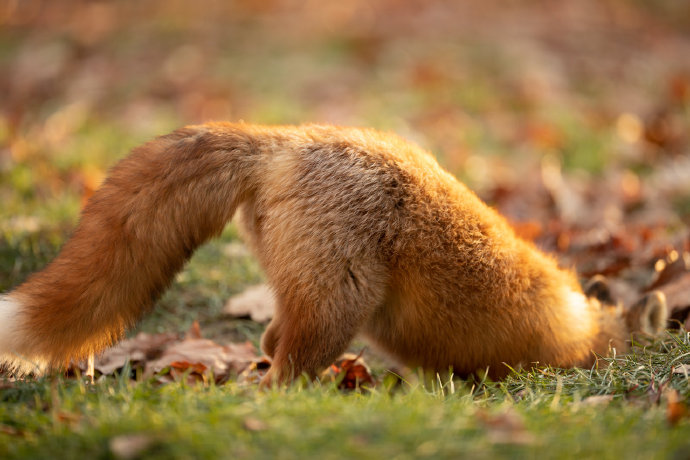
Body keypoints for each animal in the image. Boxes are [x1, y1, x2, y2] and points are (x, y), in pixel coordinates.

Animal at [0, 122, 668, 384]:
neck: (591, 325)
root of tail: (286, 140)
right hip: (337, 305)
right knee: (281, 372)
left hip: (309, 296)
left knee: (269, 343)